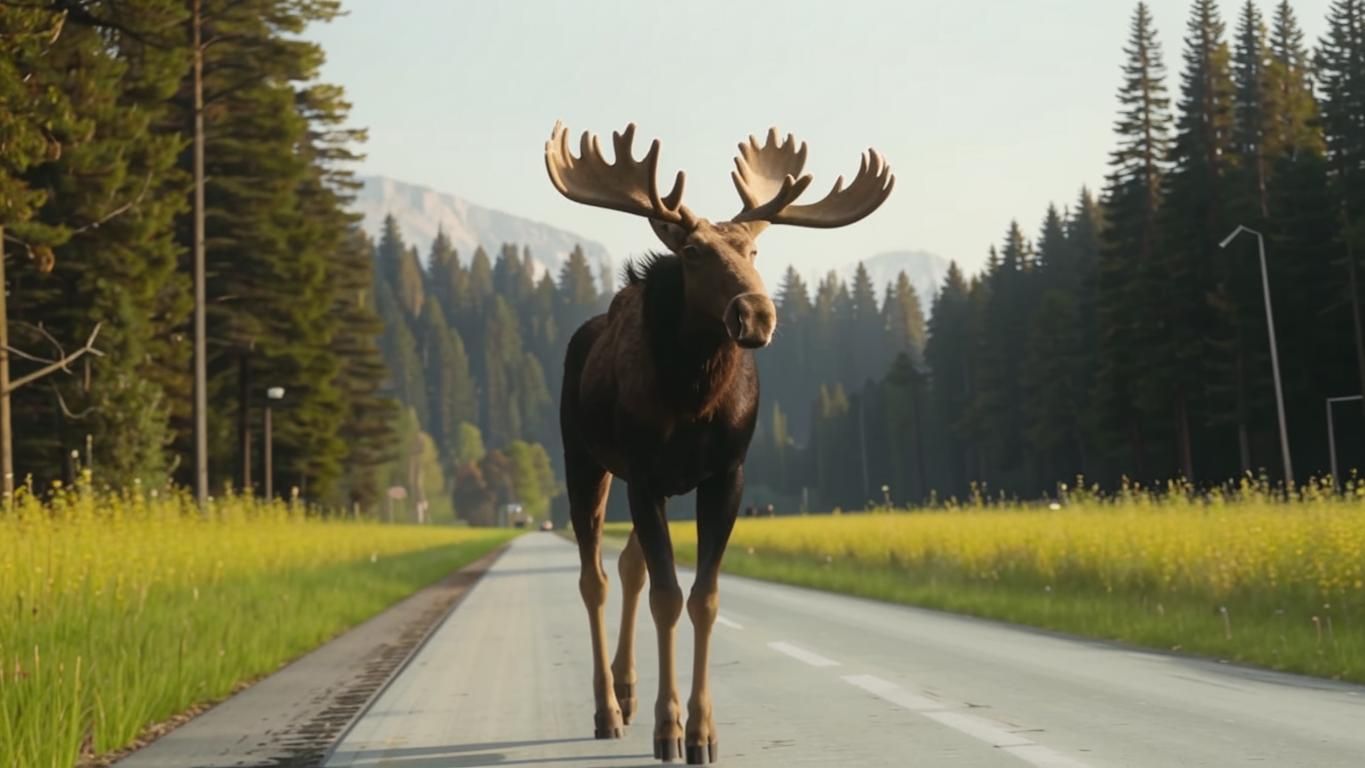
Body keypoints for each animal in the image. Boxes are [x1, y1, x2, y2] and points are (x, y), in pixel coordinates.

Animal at [543, 120, 895, 763]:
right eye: (692, 252)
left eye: (754, 250)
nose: (754, 313)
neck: (692, 402)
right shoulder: (645, 474)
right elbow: (667, 598)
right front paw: (669, 729)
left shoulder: (725, 474)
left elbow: (702, 597)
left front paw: (703, 731)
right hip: (585, 460)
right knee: (594, 578)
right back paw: (608, 708)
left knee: (627, 565)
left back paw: (627, 688)